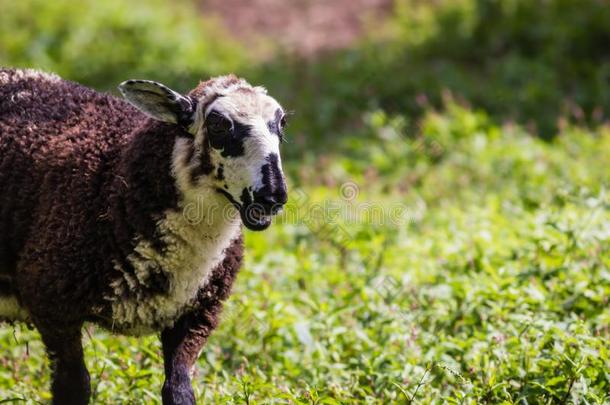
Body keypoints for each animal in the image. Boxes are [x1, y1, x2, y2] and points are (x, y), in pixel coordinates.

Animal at [0, 68, 288, 402]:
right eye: (218, 124)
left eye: (282, 124)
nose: (273, 197)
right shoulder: (51, 302)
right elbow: (74, 386)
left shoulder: (195, 315)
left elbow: (177, 389)